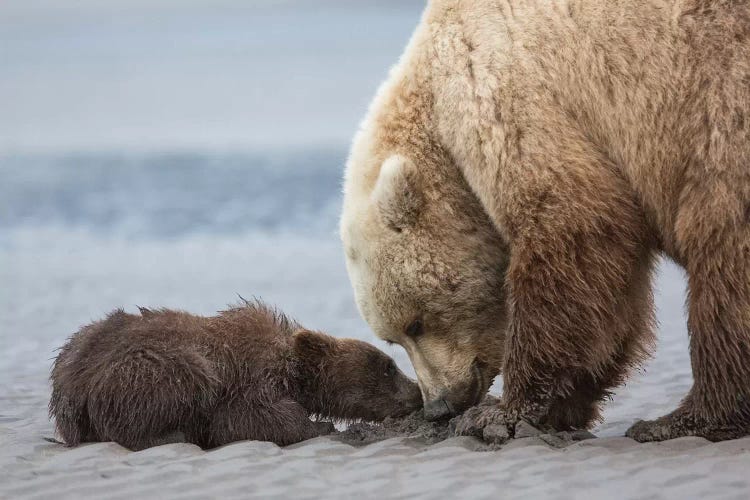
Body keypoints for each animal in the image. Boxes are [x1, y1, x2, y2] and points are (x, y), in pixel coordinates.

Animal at [344, 0, 750, 442]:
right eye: (391, 338)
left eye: (416, 323)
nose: (438, 405)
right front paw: (563, 404)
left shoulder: (506, 93)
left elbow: (572, 231)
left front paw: (501, 413)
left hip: (718, 110)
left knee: (723, 256)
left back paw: (685, 418)